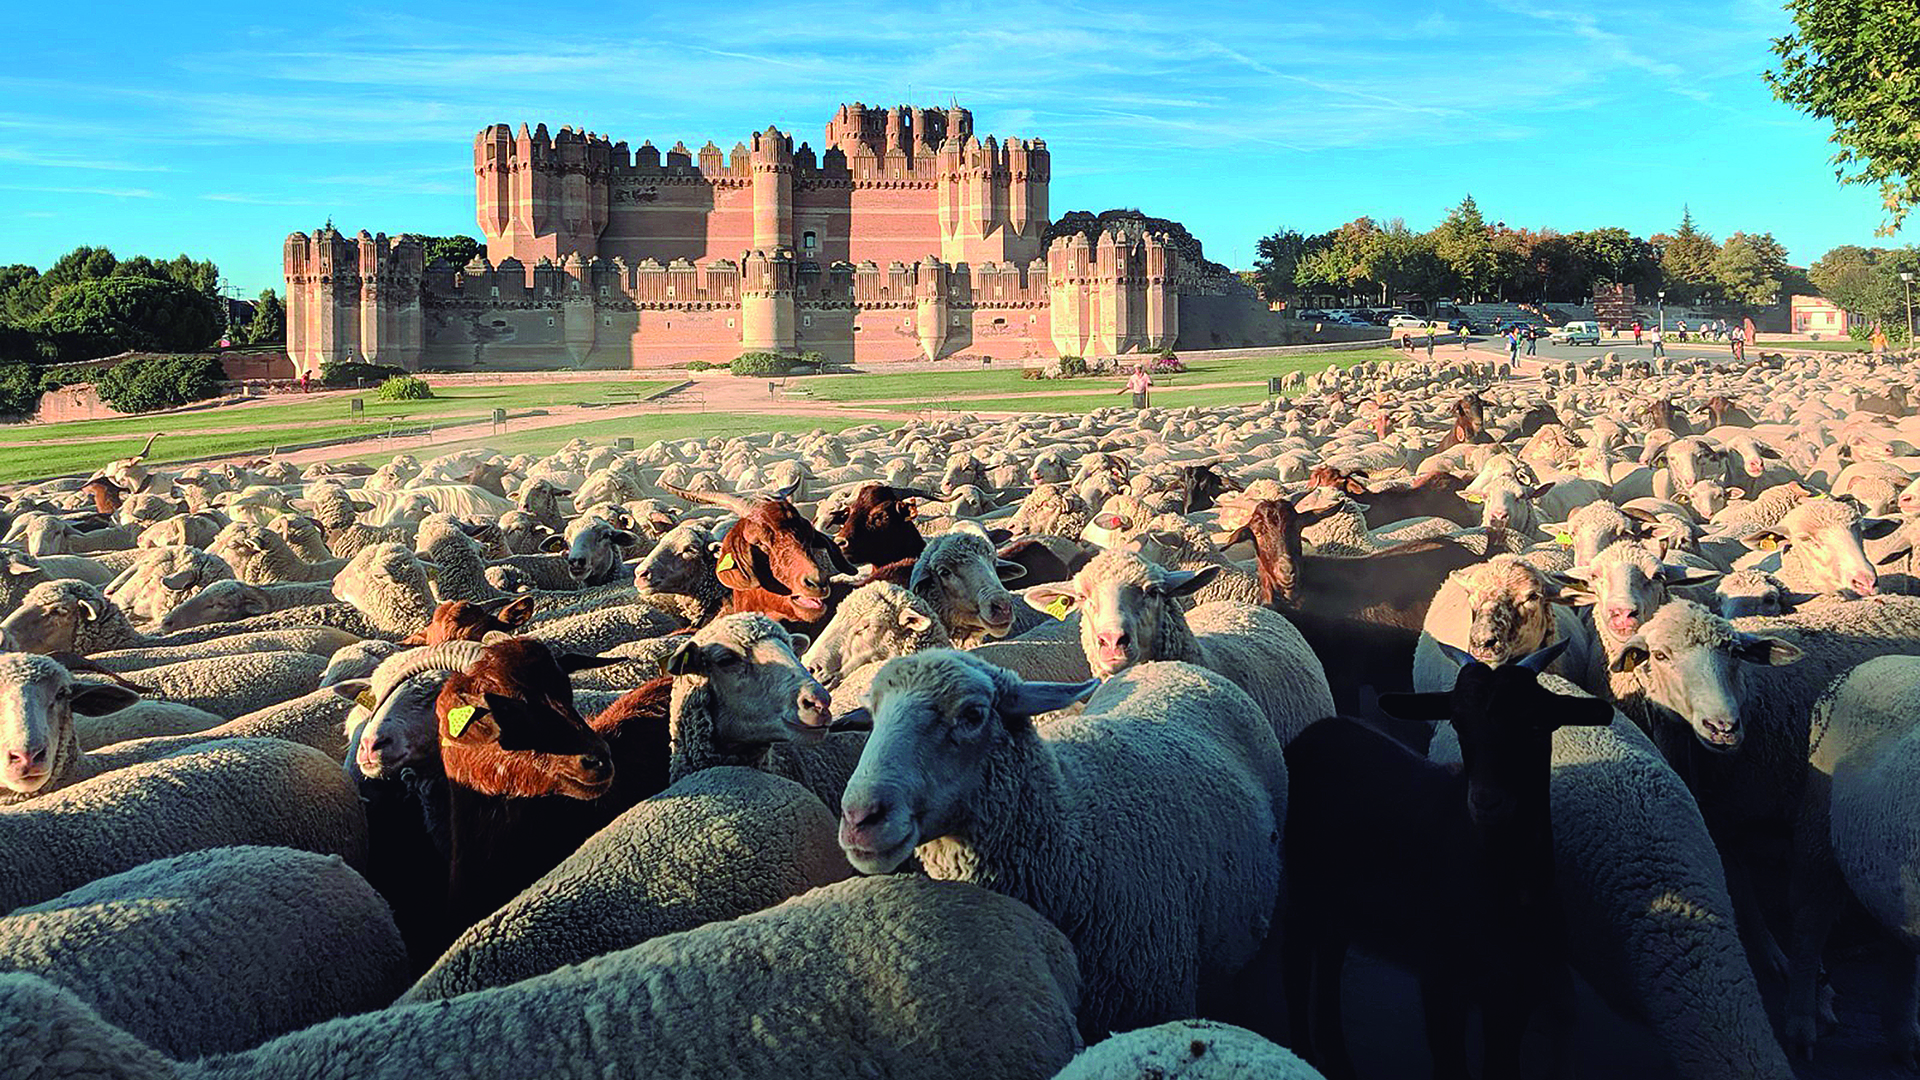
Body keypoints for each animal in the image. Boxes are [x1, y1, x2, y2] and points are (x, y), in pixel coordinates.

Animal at [1283, 641, 1614, 1080]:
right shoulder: (1442, 982)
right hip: (1303, 891)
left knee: (1330, 957)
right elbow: (1450, 1062)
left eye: (1536, 724)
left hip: (1341, 905)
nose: (1486, 801)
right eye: (1458, 722)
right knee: (1297, 963)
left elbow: (1502, 1066)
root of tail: (1318, 730)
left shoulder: (1515, 994)